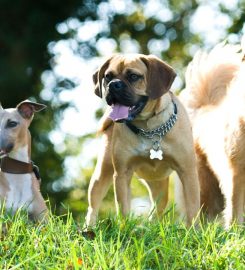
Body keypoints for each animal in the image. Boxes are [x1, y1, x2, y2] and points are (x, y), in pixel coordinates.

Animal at [85, 53, 200, 227]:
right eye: (107, 76)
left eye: (133, 76)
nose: (113, 85)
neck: (149, 128)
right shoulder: (122, 173)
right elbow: (123, 207)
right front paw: (124, 228)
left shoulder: (187, 171)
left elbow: (192, 207)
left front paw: (193, 230)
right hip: (102, 174)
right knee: (93, 206)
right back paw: (89, 227)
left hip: (159, 184)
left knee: (157, 209)